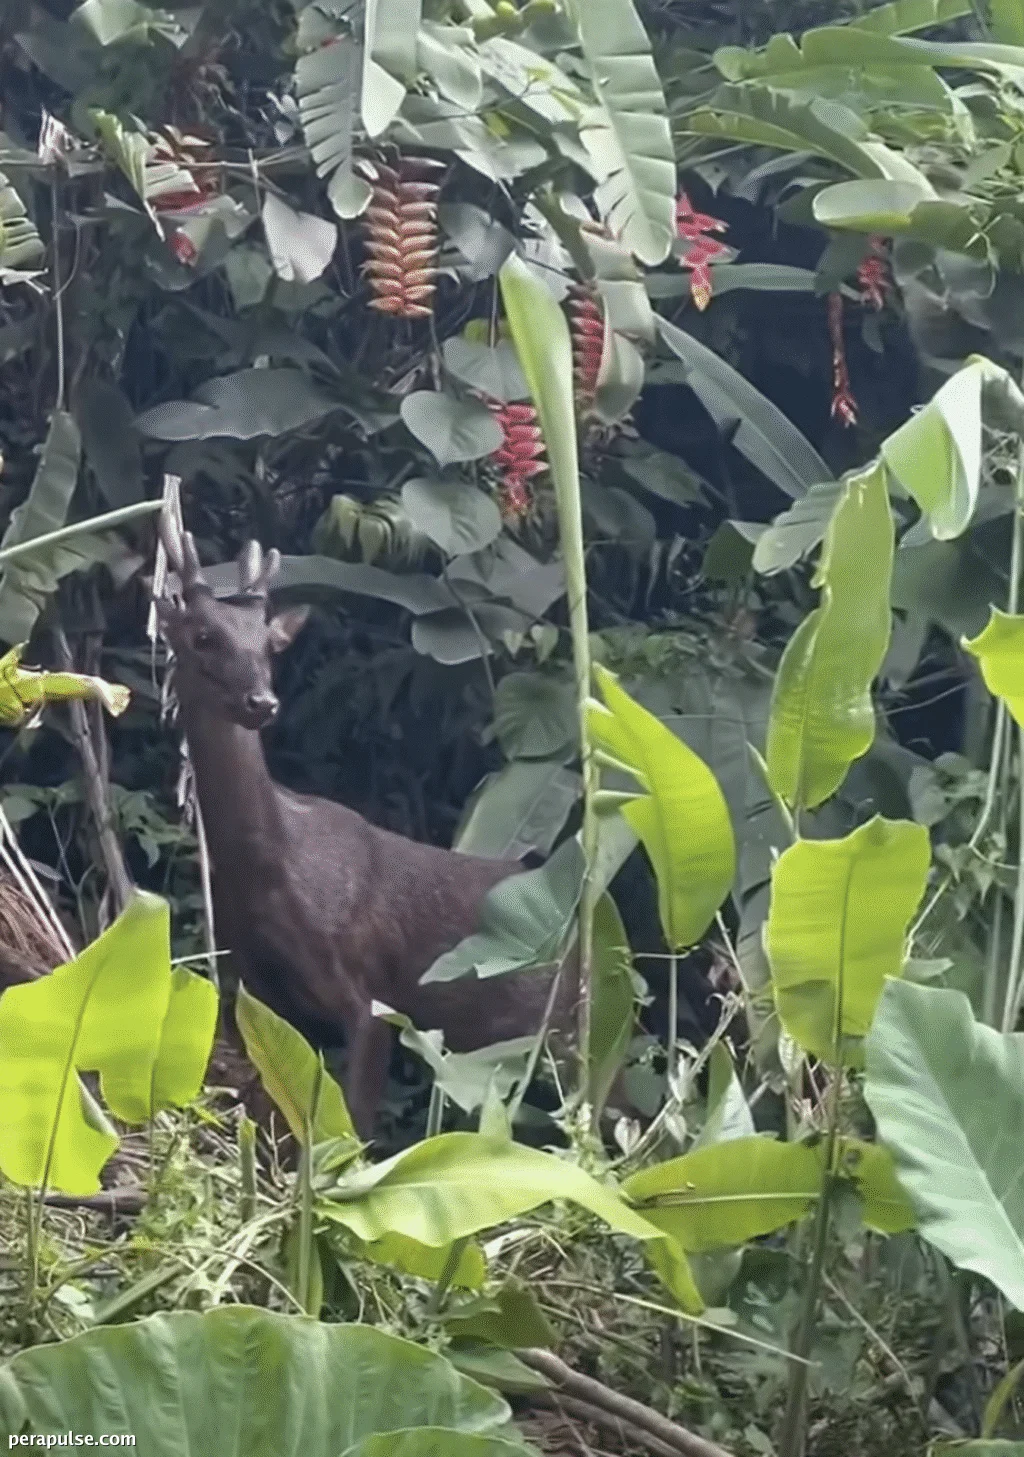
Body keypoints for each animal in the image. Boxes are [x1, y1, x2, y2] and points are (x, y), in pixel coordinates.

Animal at [154, 519, 578, 1139]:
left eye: (269, 645)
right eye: (204, 636)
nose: (262, 701)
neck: (265, 868)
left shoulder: (368, 992)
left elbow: (352, 1127)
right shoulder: (258, 991)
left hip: (569, 1025)